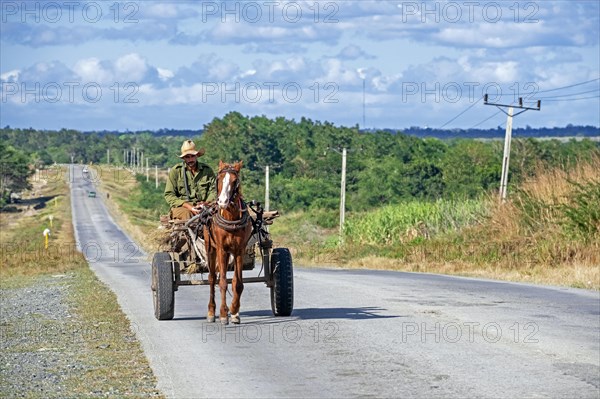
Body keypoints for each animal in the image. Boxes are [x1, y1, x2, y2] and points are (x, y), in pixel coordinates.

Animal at [205, 160, 252, 324]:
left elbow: (237, 283)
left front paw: (234, 311)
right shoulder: (221, 249)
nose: (223, 201)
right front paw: (223, 314)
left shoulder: (239, 250)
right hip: (211, 250)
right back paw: (211, 311)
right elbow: (223, 282)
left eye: (235, 181)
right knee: (212, 279)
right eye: (219, 179)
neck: (231, 218)